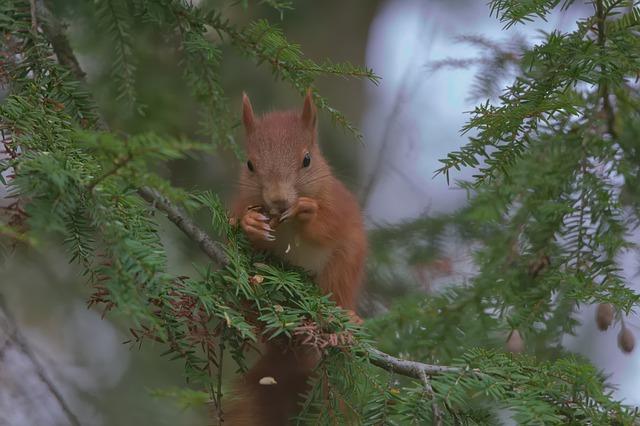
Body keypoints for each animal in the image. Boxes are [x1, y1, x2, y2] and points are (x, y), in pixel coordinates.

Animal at [224, 91, 364, 424]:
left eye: (307, 160)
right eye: (250, 164)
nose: (278, 200)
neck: (284, 222)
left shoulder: (338, 207)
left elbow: (327, 225)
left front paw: (307, 211)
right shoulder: (241, 202)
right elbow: (237, 222)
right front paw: (250, 224)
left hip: (344, 265)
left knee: (337, 290)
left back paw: (346, 319)